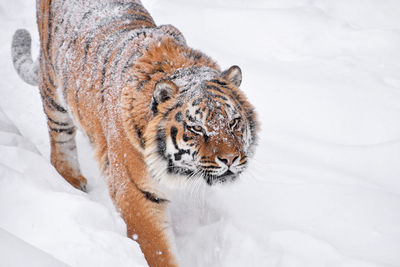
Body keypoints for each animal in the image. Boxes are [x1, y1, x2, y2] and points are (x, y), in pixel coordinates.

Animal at [11, 1, 260, 266]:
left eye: (233, 122)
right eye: (197, 128)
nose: (230, 159)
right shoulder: (136, 195)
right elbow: (157, 250)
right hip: (53, 91)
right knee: (60, 139)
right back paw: (72, 180)